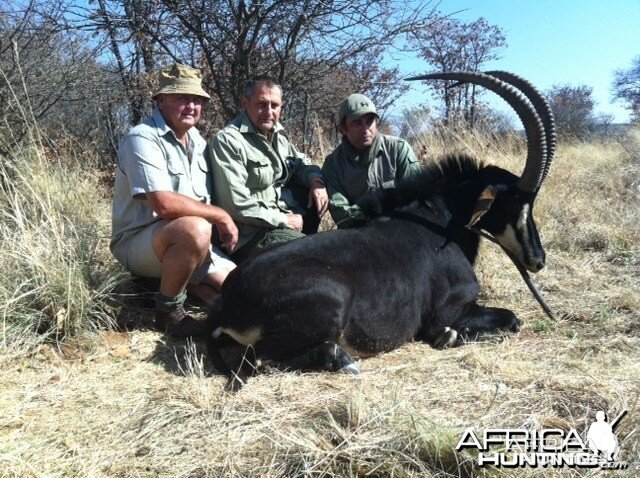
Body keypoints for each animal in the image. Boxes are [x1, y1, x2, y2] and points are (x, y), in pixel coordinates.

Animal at [206, 70, 556, 380]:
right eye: (515, 203)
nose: (538, 260)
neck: (441, 220)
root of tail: (226, 300)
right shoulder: (449, 310)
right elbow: (510, 319)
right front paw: (449, 336)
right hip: (333, 300)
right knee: (259, 360)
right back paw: (341, 360)